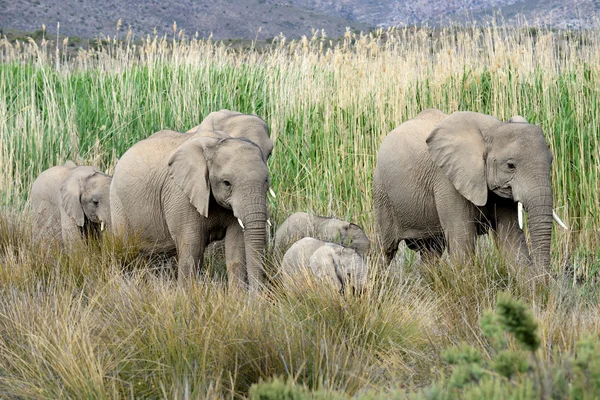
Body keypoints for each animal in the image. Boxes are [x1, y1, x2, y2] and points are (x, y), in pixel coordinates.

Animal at [110, 128, 272, 290]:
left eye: (266, 181)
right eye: (226, 183)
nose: (257, 294)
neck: (215, 143)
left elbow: (236, 247)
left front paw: (238, 296)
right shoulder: (180, 194)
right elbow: (192, 248)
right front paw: (186, 294)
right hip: (118, 203)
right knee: (124, 250)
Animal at [372, 108, 564, 272]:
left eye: (551, 161)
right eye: (510, 166)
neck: (493, 129)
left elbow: (511, 240)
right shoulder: (448, 181)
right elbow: (462, 243)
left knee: (431, 252)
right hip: (382, 193)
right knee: (385, 250)